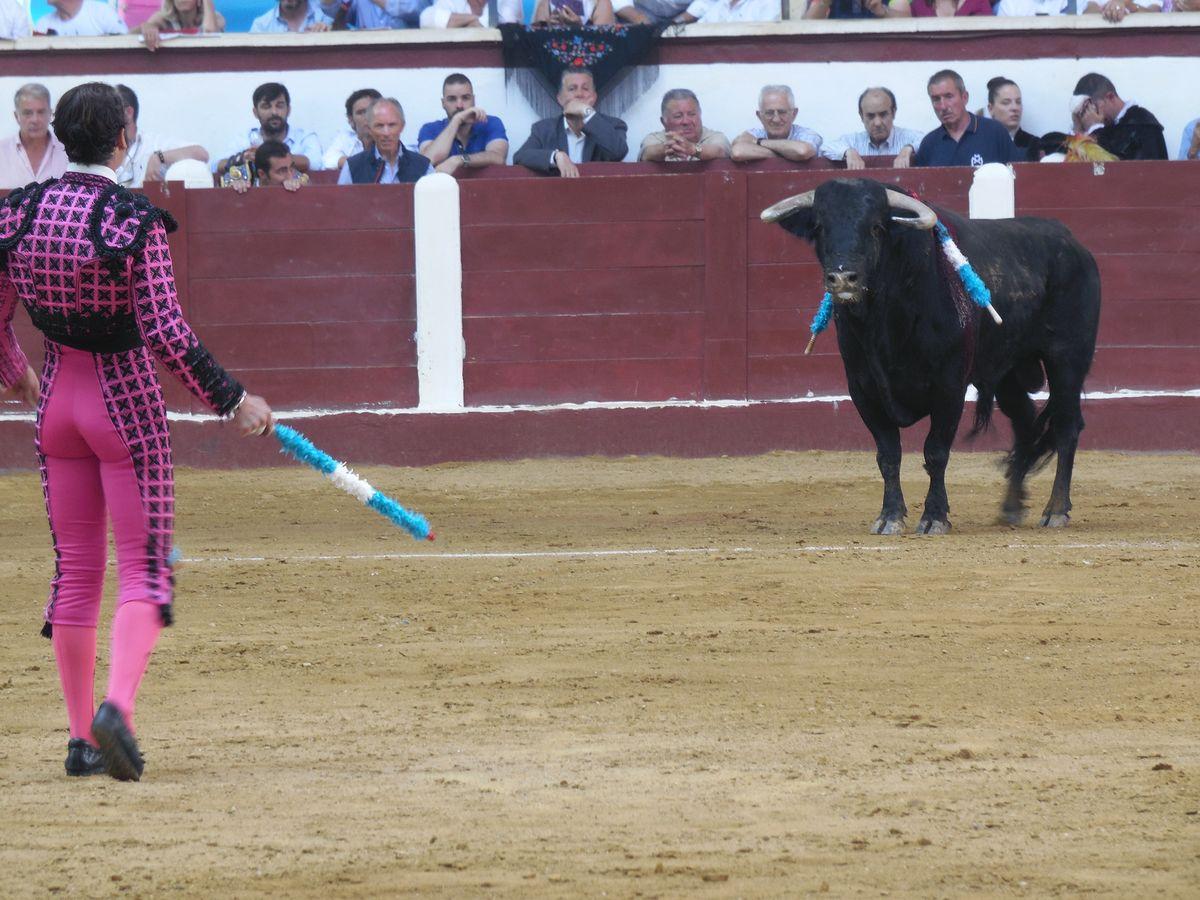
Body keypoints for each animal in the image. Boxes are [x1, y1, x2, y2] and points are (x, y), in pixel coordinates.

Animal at [763, 177, 1099, 535]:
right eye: (819, 227)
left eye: (877, 227)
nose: (842, 278)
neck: (883, 321)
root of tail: (1073, 243)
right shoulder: (863, 389)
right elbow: (888, 454)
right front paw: (890, 516)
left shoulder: (949, 386)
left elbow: (936, 451)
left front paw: (935, 517)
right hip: (1008, 372)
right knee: (1024, 423)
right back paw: (1011, 507)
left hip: (1067, 360)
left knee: (1066, 426)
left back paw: (1056, 510)